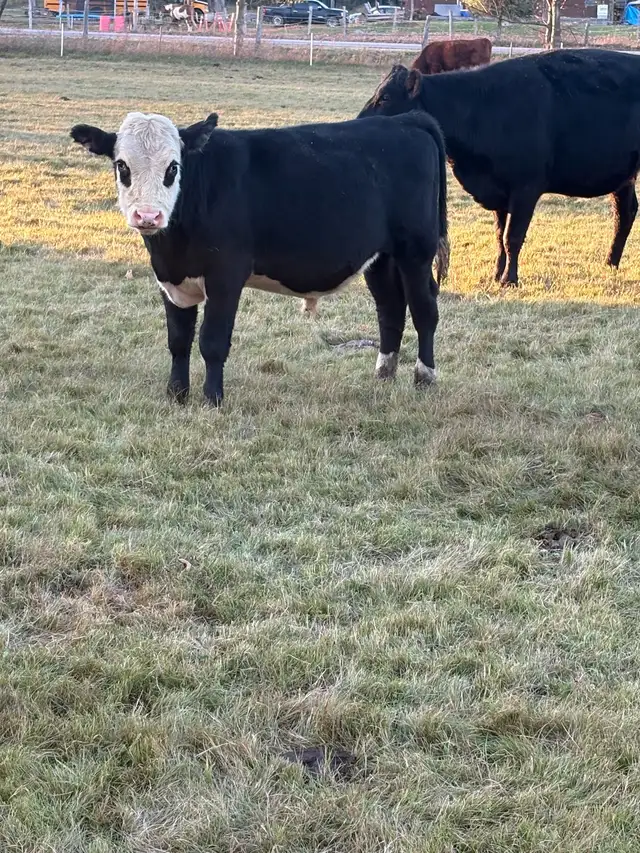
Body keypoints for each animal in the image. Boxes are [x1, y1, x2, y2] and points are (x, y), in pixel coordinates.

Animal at [70, 110, 449, 406]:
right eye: (122, 166)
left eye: (172, 167)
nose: (148, 216)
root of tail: (406, 120)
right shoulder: (171, 280)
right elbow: (178, 340)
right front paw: (176, 394)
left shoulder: (225, 276)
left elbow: (212, 341)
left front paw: (212, 398)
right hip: (381, 258)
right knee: (390, 309)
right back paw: (384, 372)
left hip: (415, 251)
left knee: (424, 309)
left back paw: (424, 376)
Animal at [358, 49, 640, 286]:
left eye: (385, 97)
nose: (358, 122)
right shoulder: (499, 192)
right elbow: (499, 236)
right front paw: (497, 273)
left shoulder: (526, 188)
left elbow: (512, 237)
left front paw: (509, 279)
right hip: (623, 176)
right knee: (624, 214)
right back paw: (610, 263)